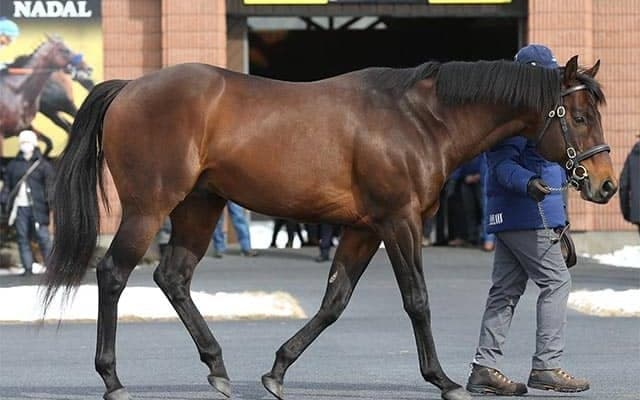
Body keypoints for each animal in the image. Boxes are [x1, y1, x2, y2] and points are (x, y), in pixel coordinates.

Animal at [44, 55, 616, 400]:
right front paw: (443, 379)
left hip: (199, 206)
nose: (607, 185)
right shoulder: (399, 220)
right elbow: (417, 300)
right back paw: (112, 377)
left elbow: (334, 301)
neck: (418, 119)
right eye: (580, 117)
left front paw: (277, 371)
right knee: (114, 274)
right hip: (150, 206)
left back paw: (218, 367)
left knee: (173, 277)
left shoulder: (363, 229)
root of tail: (129, 88)